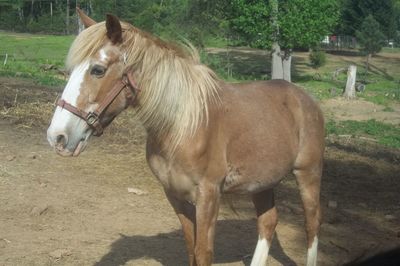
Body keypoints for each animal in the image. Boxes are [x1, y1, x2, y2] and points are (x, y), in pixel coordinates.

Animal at [47, 8, 324, 266]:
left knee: (312, 226)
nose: (57, 136)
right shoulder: (175, 196)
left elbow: (203, 253)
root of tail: (305, 98)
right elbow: (191, 248)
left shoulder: (209, 197)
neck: (184, 126)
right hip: (262, 182)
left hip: (307, 174)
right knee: (268, 222)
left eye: (97, 70)